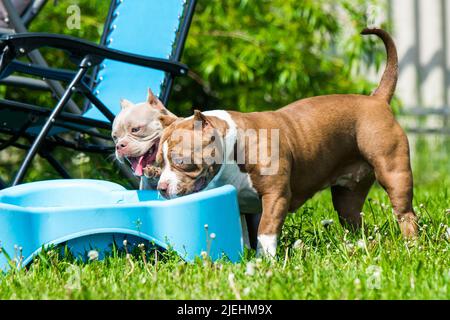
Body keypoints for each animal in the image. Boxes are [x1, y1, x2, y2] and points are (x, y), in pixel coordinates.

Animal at [155, 28, 418, 256]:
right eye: (158, 164)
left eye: (181, 162)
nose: (161, 188)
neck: (235, 146)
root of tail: (376, 99)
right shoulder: (243, 206)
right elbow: (245, 234)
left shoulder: (275, 196)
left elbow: (266, 233)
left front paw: (266, 261)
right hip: (348, 196)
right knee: (355, 220)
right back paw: (360, 246)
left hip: (393, 172)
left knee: (406, 213)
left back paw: (412, 245)